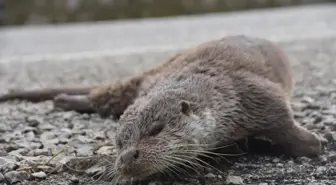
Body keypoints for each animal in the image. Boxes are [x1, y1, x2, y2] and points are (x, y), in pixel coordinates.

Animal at [0, 34, 322, 181]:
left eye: (156, 130)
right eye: (119, 142)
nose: (127, 157)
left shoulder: (255, 95)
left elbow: (288, 127)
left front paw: (313, 141)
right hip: (141, 78)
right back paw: (64, 99)